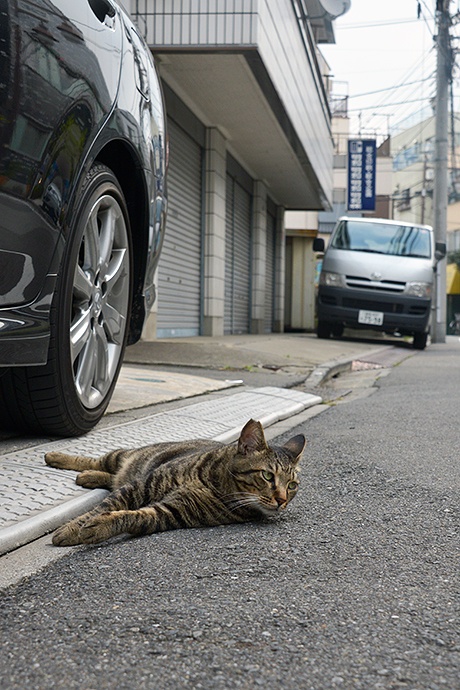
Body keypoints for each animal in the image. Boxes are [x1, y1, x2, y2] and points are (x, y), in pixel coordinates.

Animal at [45, 416, 306, 544]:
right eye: (267, 475)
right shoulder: (141, 486)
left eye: (292, 486)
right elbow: (103, 507)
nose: (282, 500)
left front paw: (98, 526)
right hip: (124, 457)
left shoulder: (171, 512)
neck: (218, 485)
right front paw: (71, 529)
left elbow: (132, 516)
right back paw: (56, 457)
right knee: (99, 462)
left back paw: (87, 478)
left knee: (111, 477)